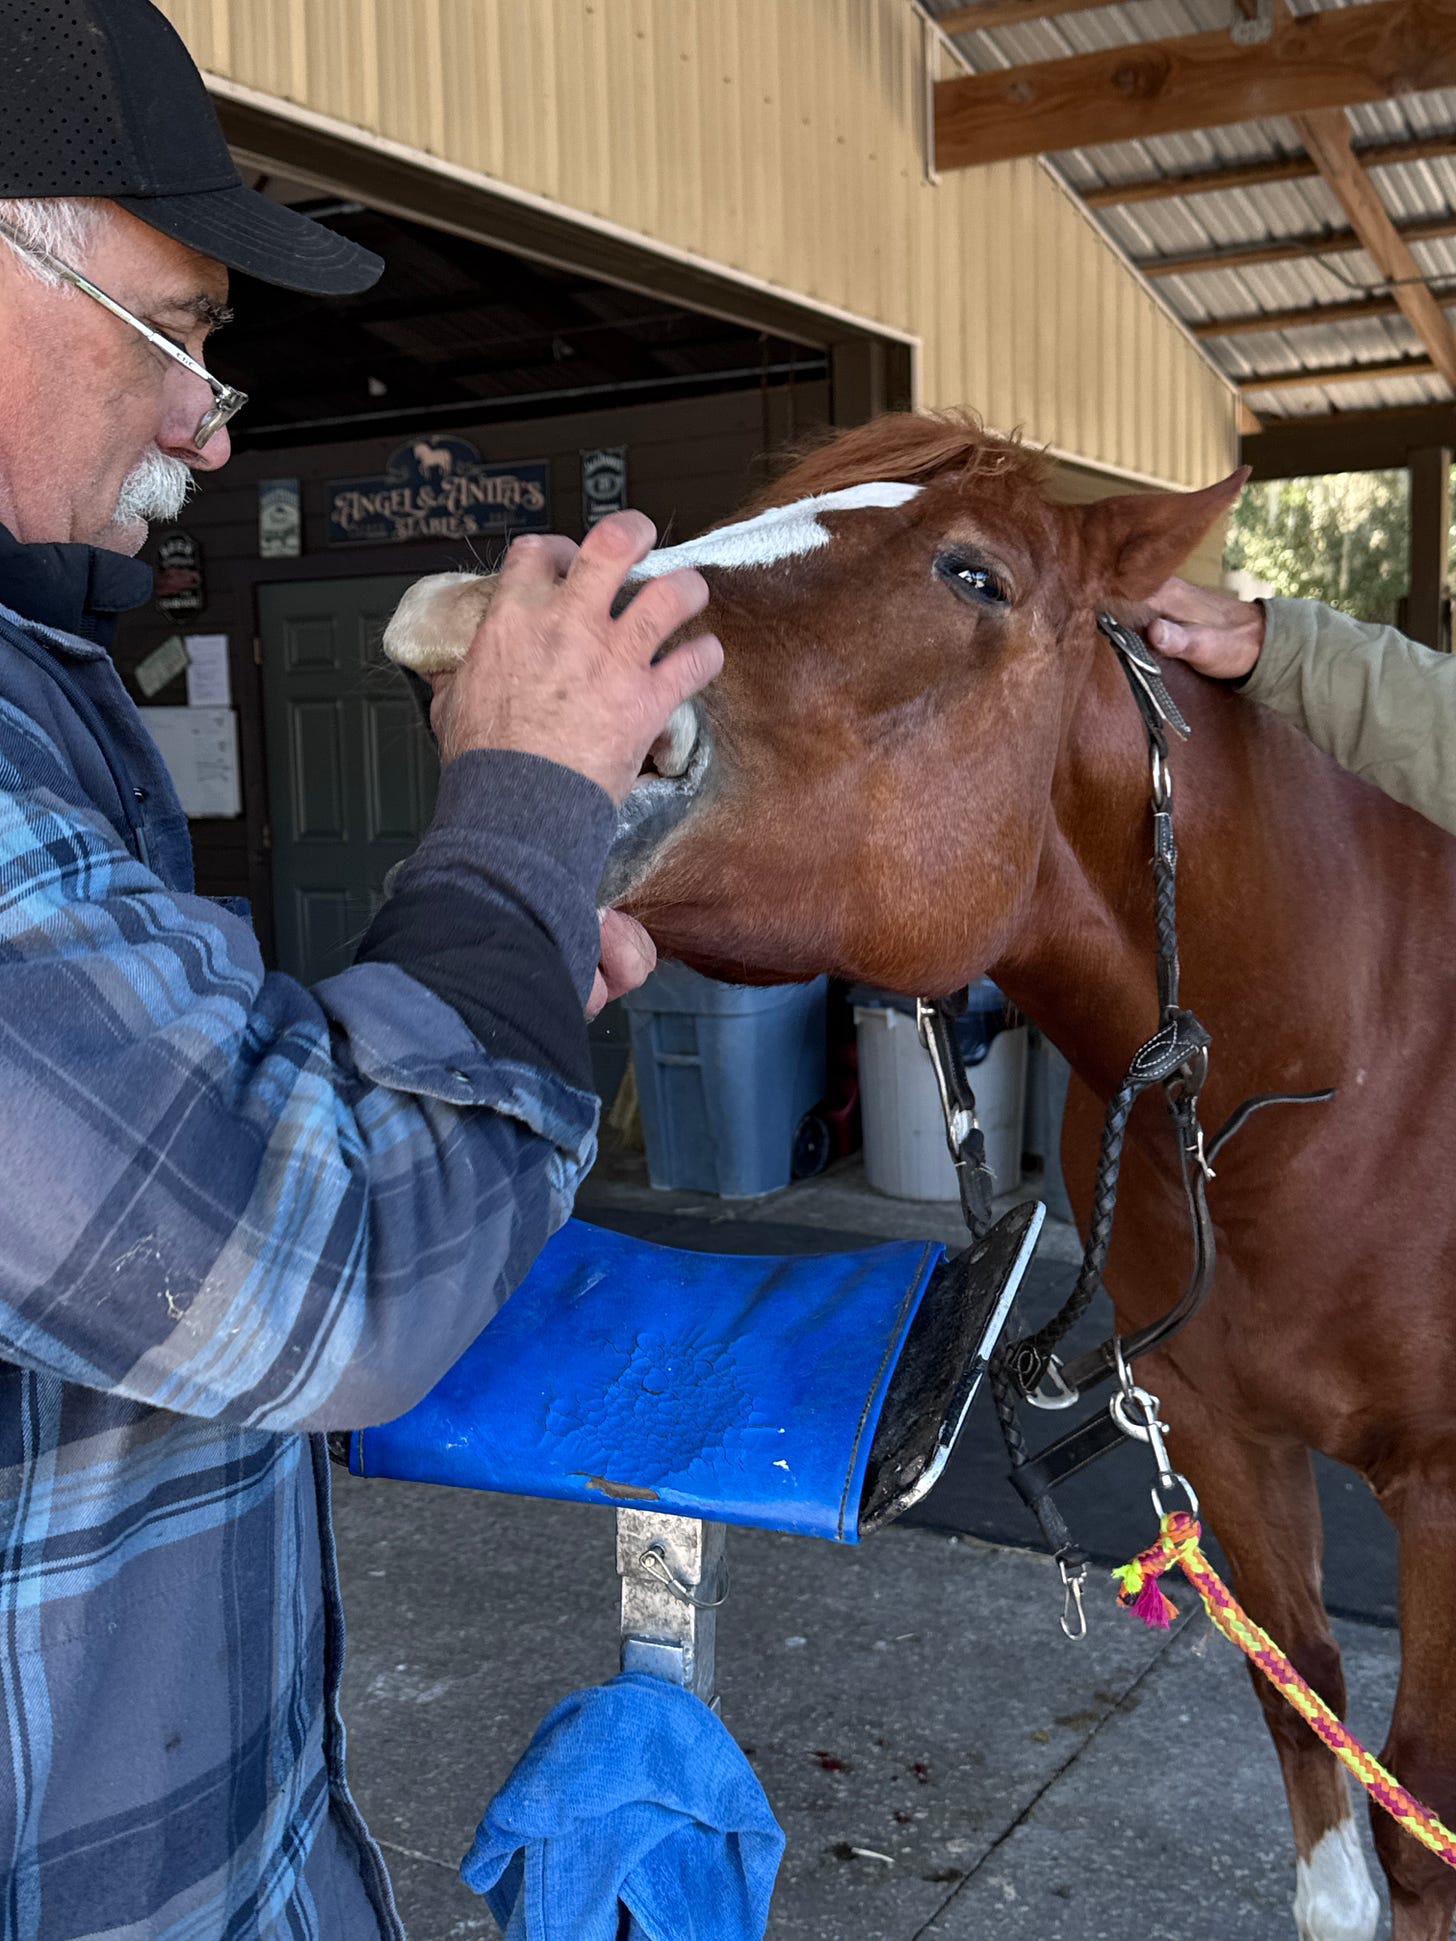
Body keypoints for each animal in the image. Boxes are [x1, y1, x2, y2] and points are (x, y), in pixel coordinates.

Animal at [383, 412, 1456, 1941]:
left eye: (974, 575)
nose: (471, 626)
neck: (1335, 1057)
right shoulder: (1223, 1439)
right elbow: (1314, 1750)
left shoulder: (1440, 1494)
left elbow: (1417, 1821)